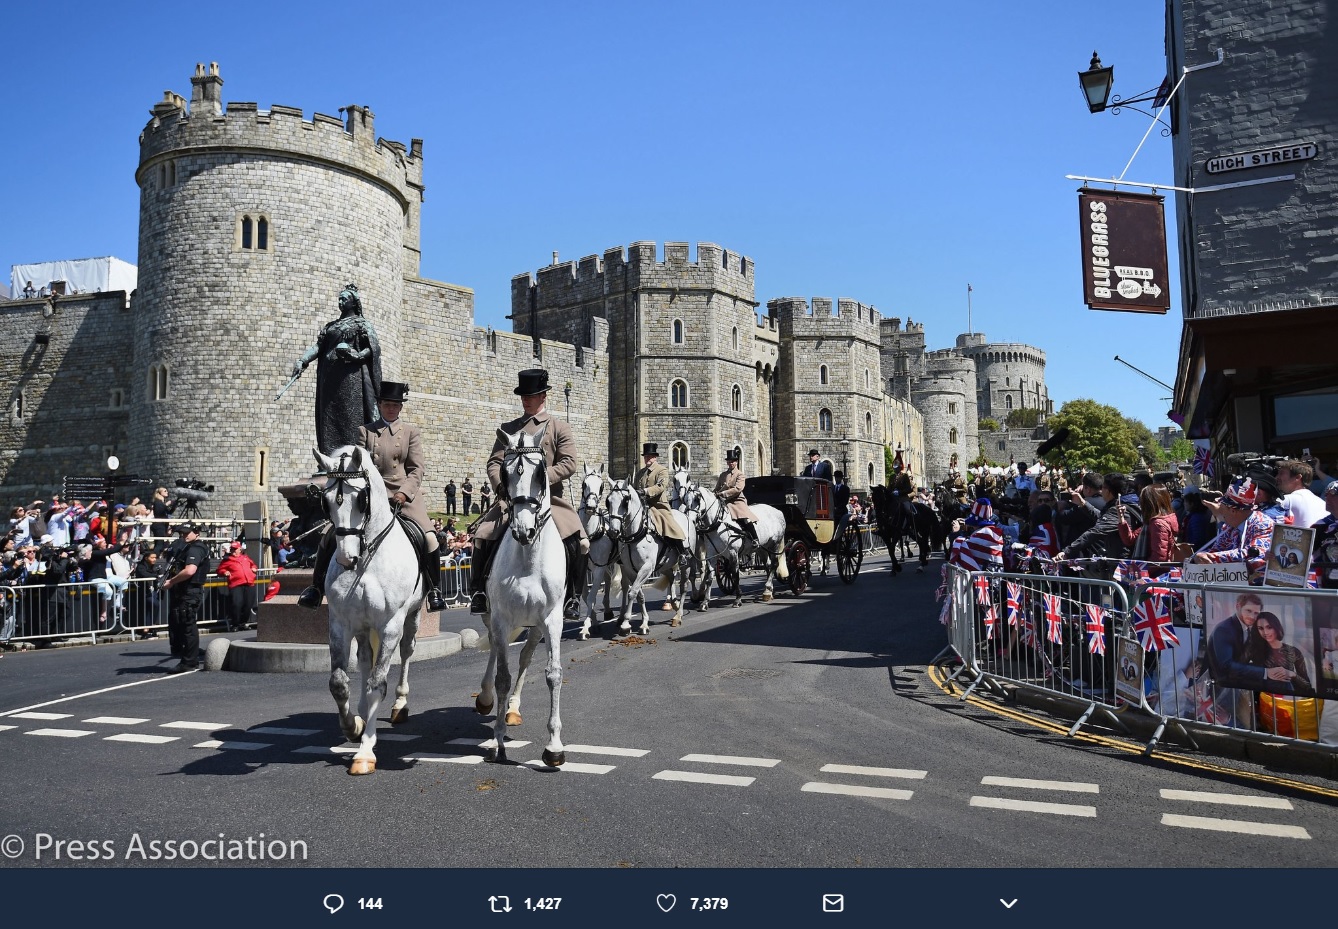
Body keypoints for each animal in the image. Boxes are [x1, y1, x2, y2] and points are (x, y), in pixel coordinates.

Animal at [315, 447, 420, 776]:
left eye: (362, 498)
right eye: (324, 500)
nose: (345, 558)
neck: (367, 558)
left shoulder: (390, 625)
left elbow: (377, 684)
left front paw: (365, 752)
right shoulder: (340, 623)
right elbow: (338, 682)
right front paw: (354, 727)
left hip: (412, 617)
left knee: (406, 652)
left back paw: (400, 704)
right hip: (362, 627)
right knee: (363, 659)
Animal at [476, 425, 564, 765]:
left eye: (541, 472)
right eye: (504, 471)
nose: (523, 530)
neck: (528, 558)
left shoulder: (552, 620)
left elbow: (552, 674)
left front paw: (554, 745)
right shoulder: (501, 618)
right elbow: (502, 674)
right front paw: (497, 740)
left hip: (536, 626)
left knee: (526, 656)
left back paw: (512, 708)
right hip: (494, 618)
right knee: (493, 651)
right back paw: (487, 698)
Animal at [578, 465, 623, 639]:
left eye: (601, 486)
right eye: (584, 484)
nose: (590, 507)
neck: (590, 535)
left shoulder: (598, 569)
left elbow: (591, 598)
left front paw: (585, 627)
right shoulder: (583, 570)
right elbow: (585, 596)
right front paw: (594, 623)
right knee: (608, 580)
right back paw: (608, 610)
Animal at [607, 479, 690, 634]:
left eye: (625, 501)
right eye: (608, 501)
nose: (613, 531)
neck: (636, 534)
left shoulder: (646, 568)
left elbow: (632, 593)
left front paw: (626, 624)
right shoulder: (631, 570)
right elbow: (638, 595)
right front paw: (644, 622)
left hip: (687, 564)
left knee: (684, 586)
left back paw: (678, 615)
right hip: (664, 565)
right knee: (671, 577)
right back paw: (674, 603)